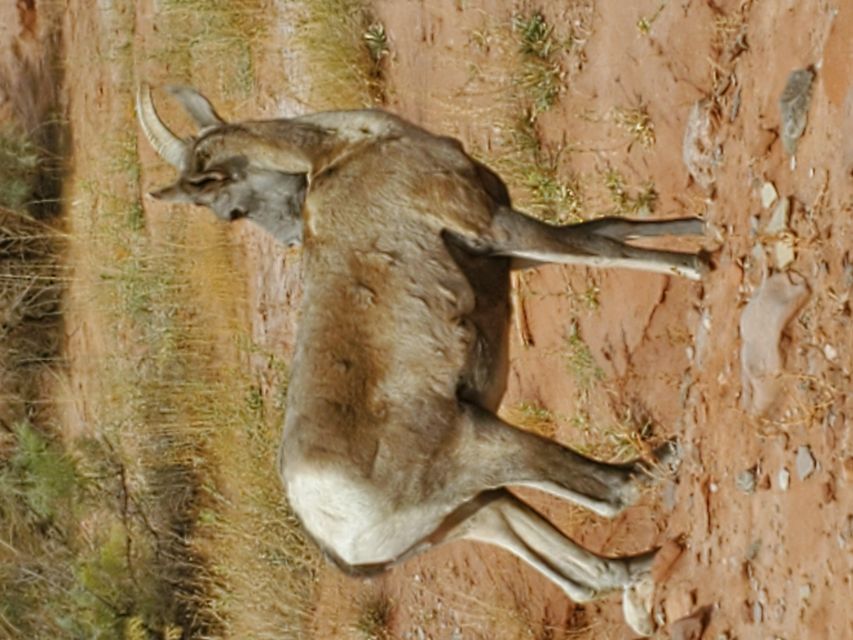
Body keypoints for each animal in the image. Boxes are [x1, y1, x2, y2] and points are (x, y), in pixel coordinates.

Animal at [136, 85, 704, 636]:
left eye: (229, 211)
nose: (293, 238)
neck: (351, 148)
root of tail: (335, 540)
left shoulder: (508, 253)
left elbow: (610, 228)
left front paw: (700, 221)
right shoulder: (493, 227)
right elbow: (605, 250)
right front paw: (703, 261)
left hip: (472, 512)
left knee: (581, 570)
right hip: (484, 446)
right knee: (615, 492)